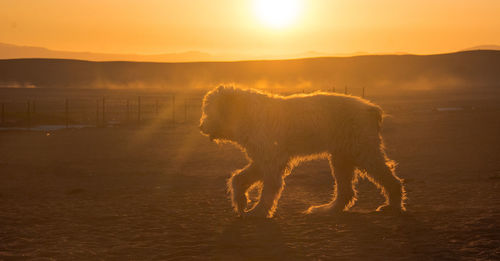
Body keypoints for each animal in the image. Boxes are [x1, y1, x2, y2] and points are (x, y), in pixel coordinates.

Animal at [199, 85, 406, 217]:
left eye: (209, 110)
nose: (201, 127)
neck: (246, 113)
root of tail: (371, 108)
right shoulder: (263, 158)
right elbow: (238, 178)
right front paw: (241, 202)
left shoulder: (271, 158)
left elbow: (269, 187)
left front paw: (259, 211)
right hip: (341, 155)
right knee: (346, 190)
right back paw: (328, 209)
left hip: (362, 150)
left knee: (389, 178)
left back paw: (393, 206)